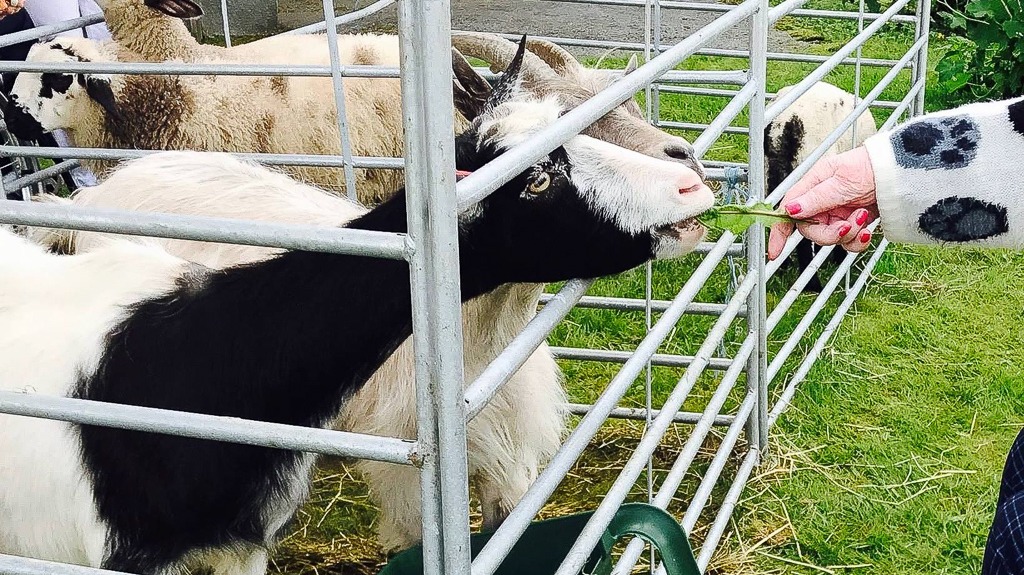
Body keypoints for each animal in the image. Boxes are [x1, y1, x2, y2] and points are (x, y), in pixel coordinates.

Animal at [0, 40, 712, 572]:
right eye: (536, 179)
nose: (690, 181)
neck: (472, 358)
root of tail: (106, 190)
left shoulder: (508, 471)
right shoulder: (407, 481)